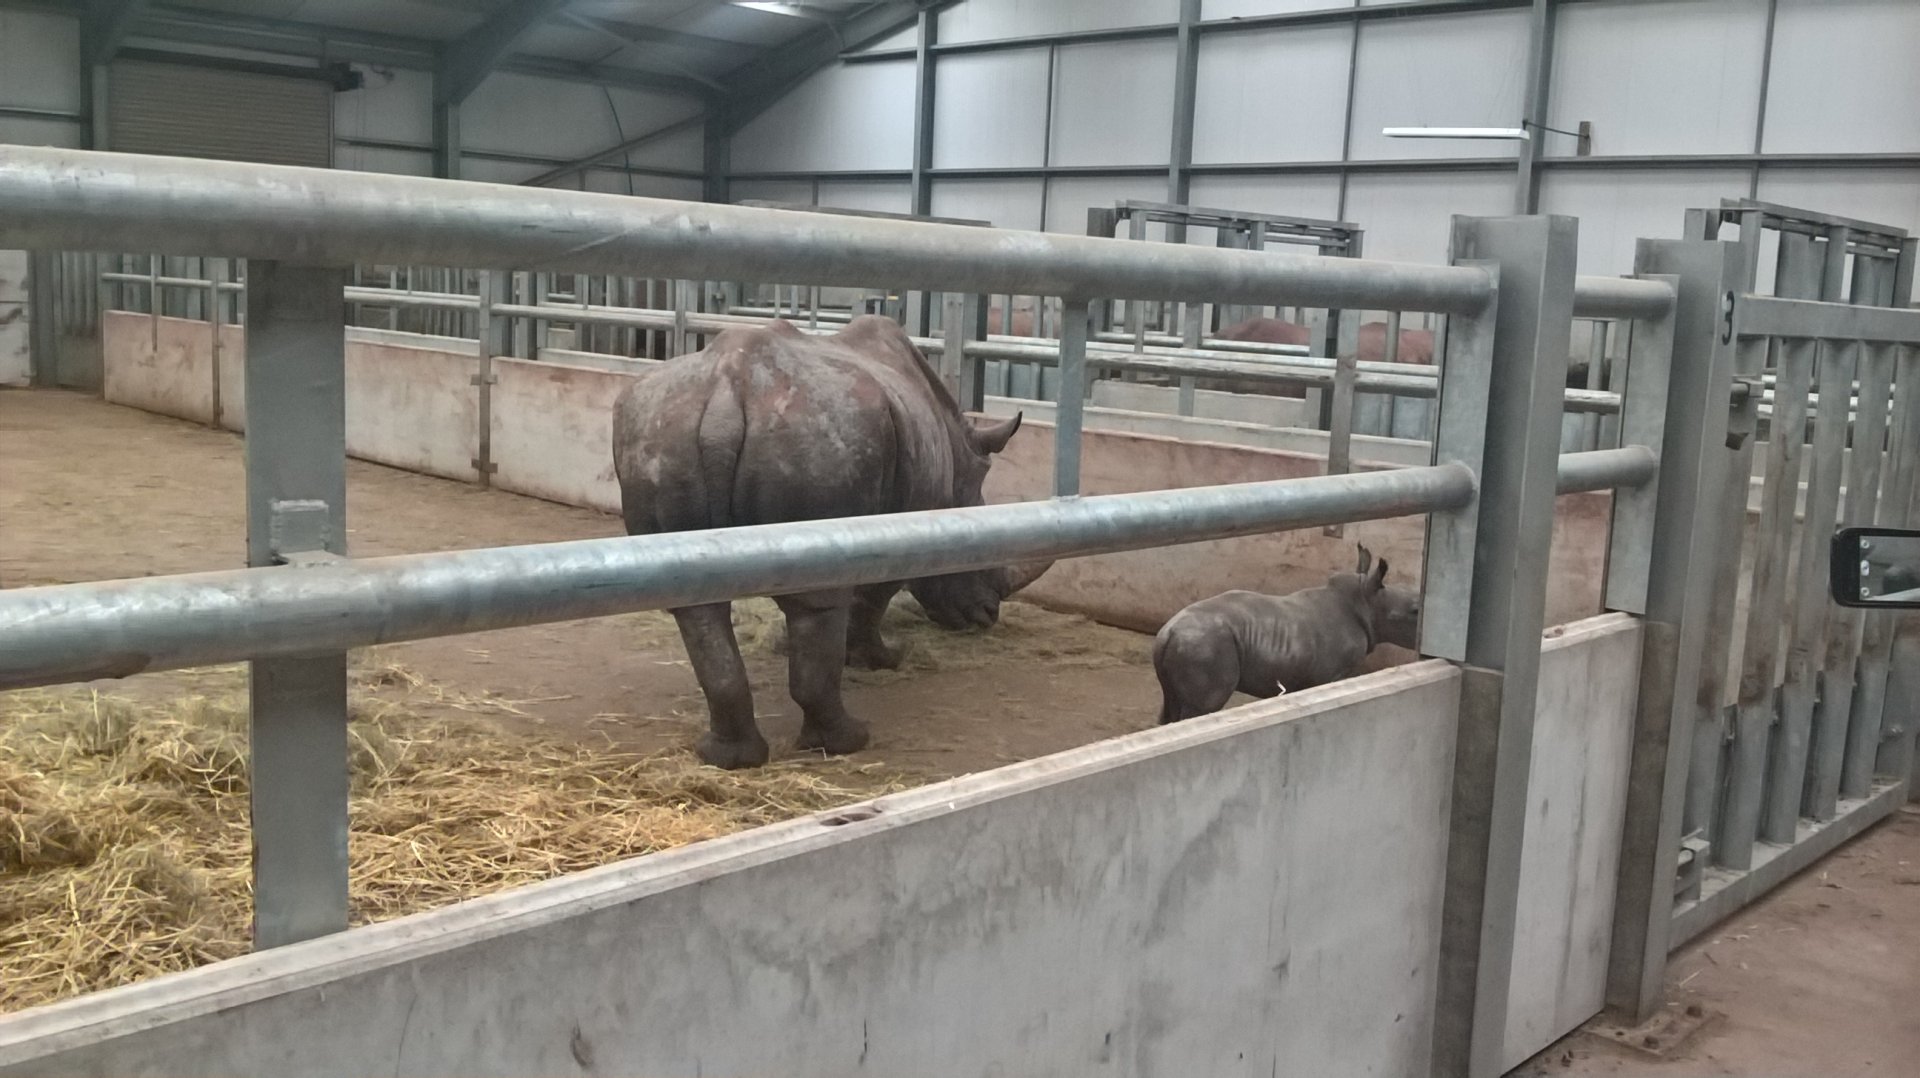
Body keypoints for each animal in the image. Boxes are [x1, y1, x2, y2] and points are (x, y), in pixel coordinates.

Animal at [613, 316, 1049, 769]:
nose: (987, 616)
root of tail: (726, 395)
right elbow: (873, 598)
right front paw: (881, 660)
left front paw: (790, 647)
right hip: (820, 440)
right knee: (819, 597)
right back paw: (848, 740)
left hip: (662, 438)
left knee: (700, 604)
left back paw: (728, 756)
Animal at [1152, 545, 1421, 724]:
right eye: (1414, 611)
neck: (1367, 602)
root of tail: (1168, 632)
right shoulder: (1330, 674)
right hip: (1205, 645)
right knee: (1201, 709)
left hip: (1189, 643)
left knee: (1170, 706)